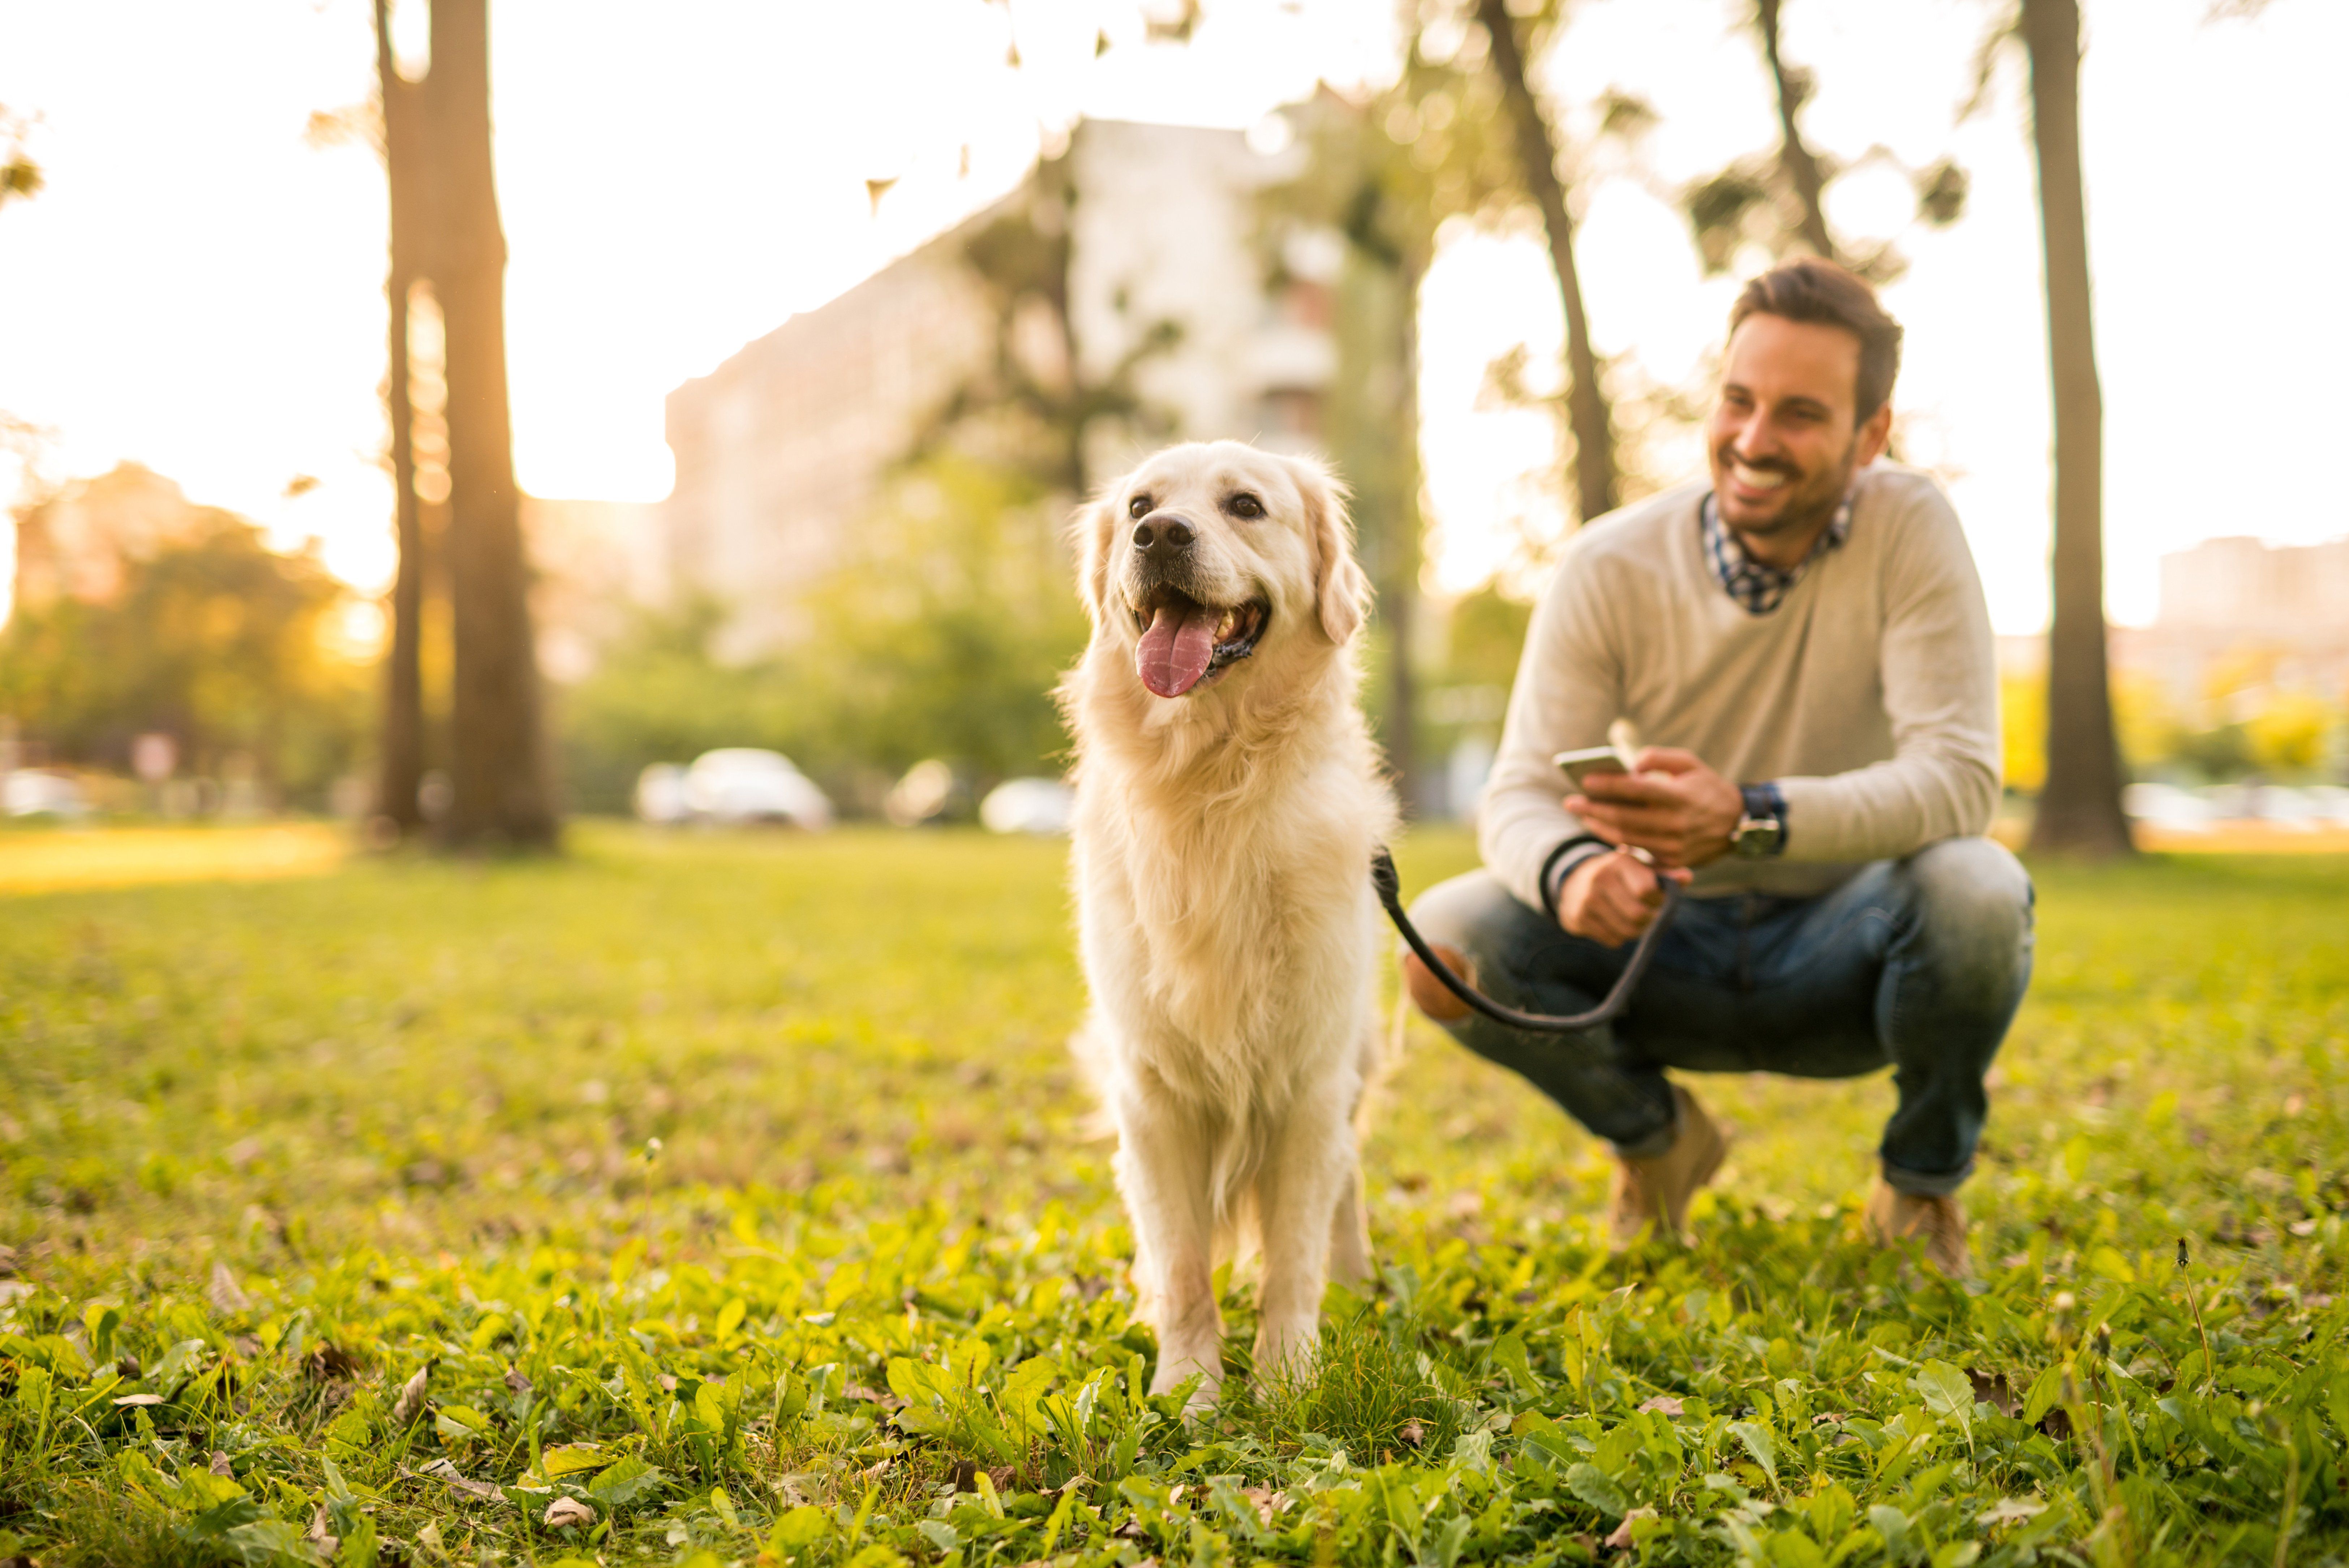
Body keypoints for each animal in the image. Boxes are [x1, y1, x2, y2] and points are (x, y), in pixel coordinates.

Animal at [1062, 439, 1391, 1408]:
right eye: (1140, 504)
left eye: (1245, 505)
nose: (1160, 536)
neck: (1210, 784)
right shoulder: (1151, 1089)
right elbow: (1180, 1264)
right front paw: (1189, 1390)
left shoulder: (1309, 1079)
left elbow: (1292, 1255)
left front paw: (1286, 1382)